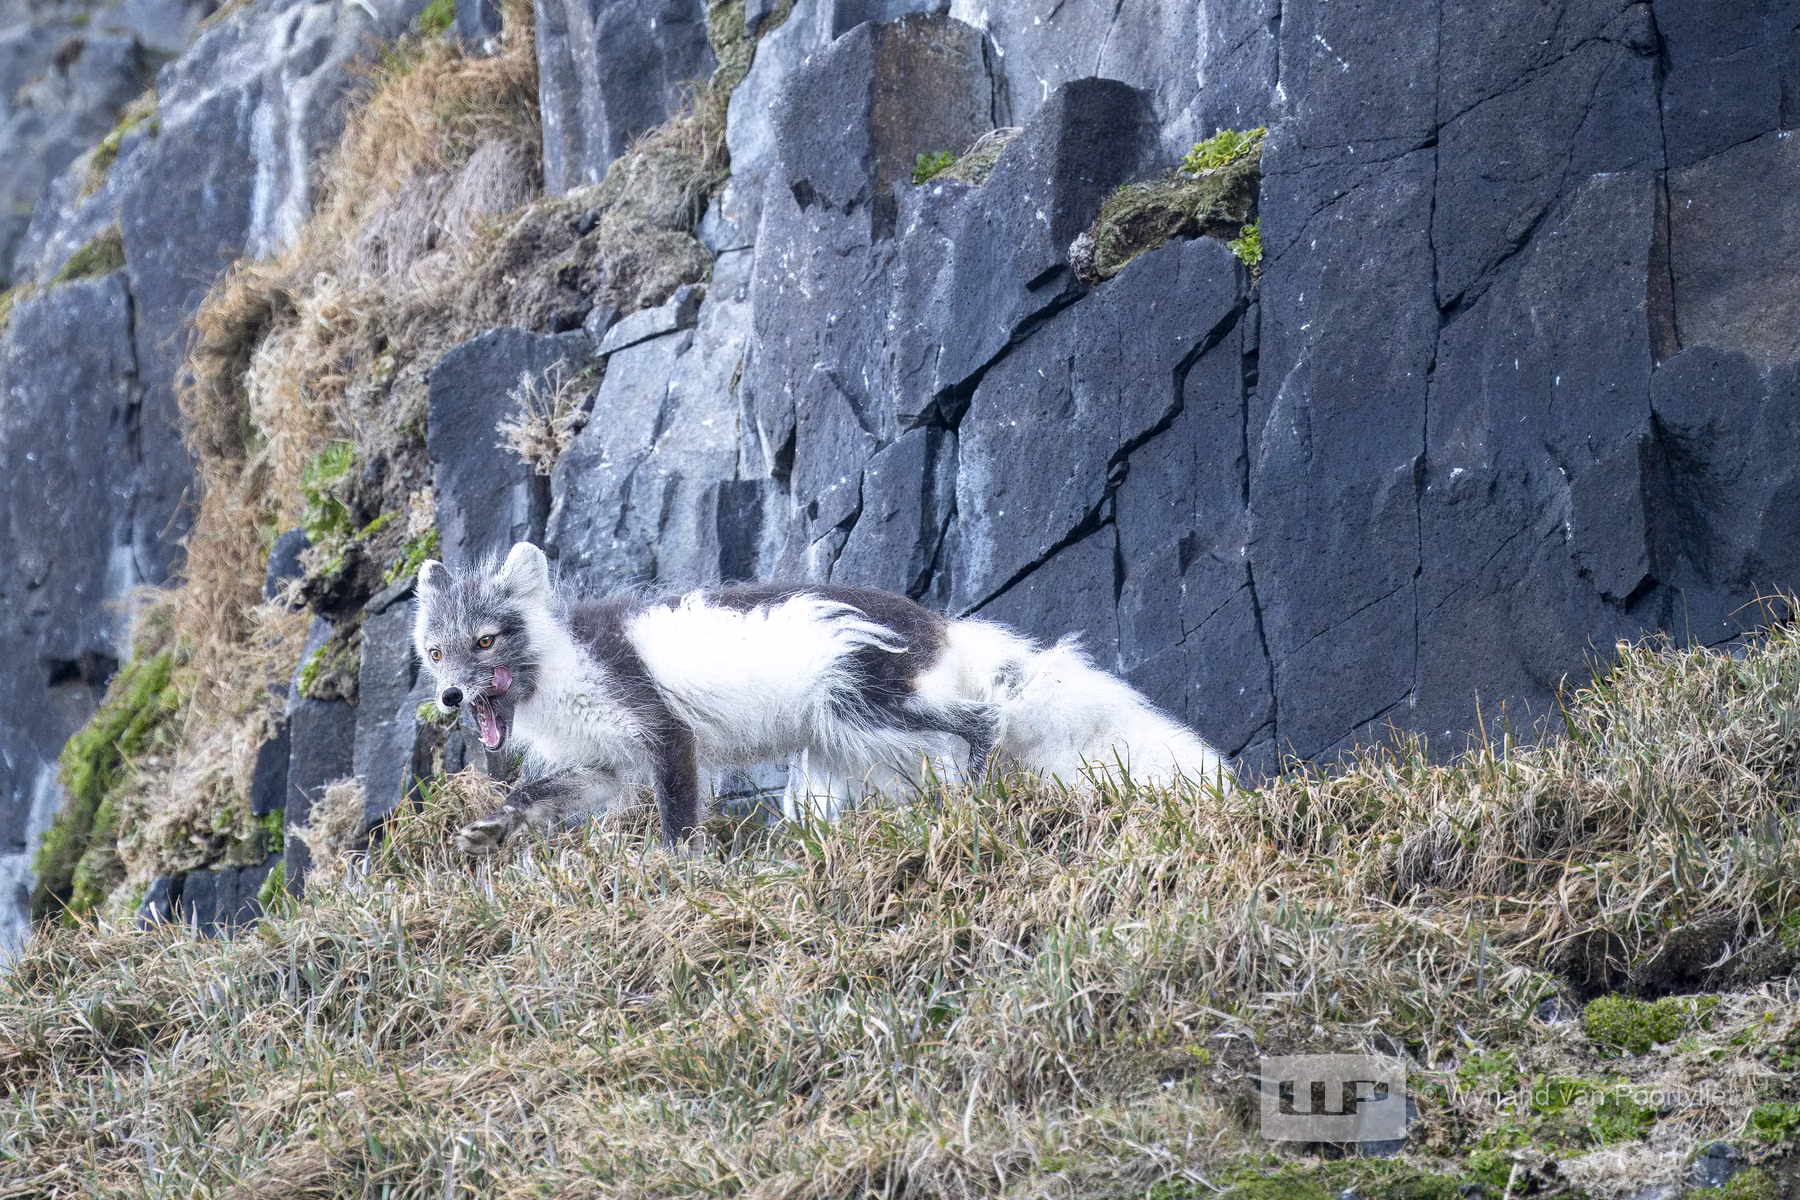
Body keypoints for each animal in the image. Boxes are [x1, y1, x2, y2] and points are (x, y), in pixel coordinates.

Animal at [413, 542, 1233, 853]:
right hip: (834, 755)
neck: (559, 670)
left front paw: (677, 872)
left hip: (862, 701)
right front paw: (489, 831)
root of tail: (944, 626)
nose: (451, 698)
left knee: (982, 720)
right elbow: (533, 792)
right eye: (433, 651)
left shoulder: (665, 733)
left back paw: (972, 794)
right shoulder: (604, 764)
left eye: (485, 640)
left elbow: (680, 818)